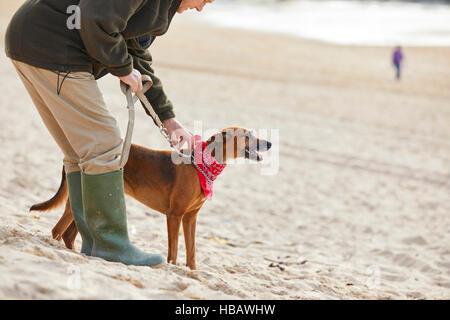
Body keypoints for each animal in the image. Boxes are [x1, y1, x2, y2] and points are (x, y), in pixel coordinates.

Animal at [31, 126, 272, 268]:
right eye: (247, 136)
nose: (269, 143)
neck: (201, 166)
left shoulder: (190, 218)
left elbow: (192, 252)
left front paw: (193, 273)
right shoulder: (174, 215)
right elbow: (173, 250)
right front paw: (171, 268)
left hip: (84, 204)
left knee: (69, 233)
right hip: (76, 203)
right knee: (57, 230)